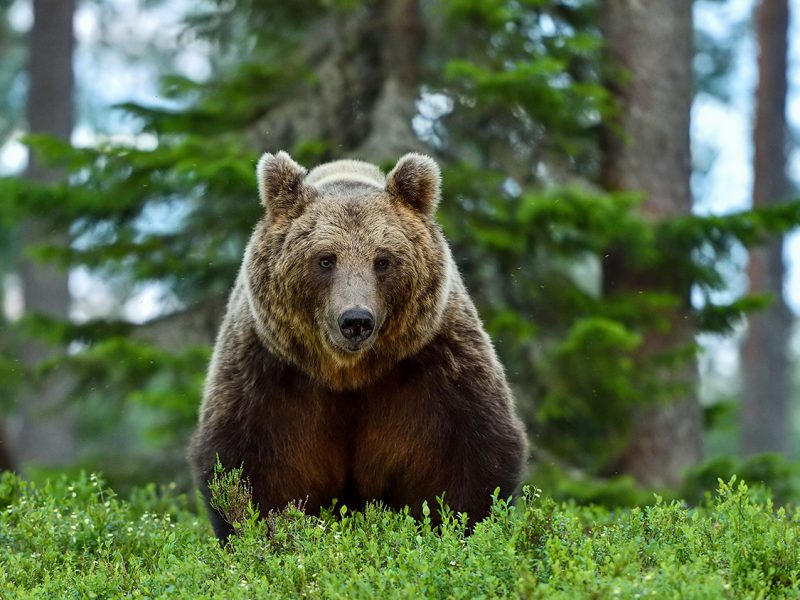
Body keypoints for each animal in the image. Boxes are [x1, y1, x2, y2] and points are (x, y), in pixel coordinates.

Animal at [187, 150, 524, 540]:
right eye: (325, 259)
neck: (348, 373)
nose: (356, 321)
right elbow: (253, 472)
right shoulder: (268, 377)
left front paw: (460, 527)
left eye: (383, 260)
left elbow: (463, 461)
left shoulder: (435, 367)